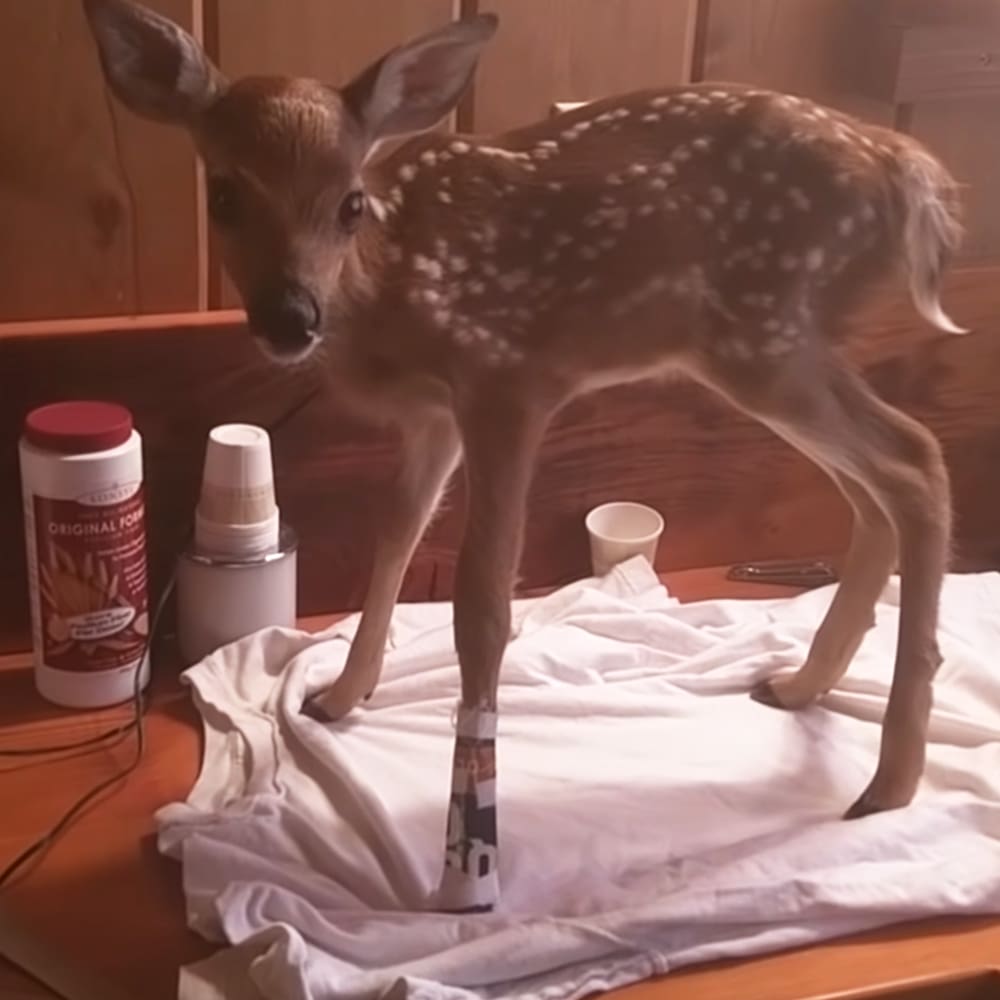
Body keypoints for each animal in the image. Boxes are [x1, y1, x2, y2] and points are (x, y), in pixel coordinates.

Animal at [84, 0, 966, 913]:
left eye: (351, 203)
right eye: (223, 193)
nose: (291, 317)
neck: (390, 293)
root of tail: (910, 169)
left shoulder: (508, 379)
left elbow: (482, 607)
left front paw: (468, 869)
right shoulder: (432, 418)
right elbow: (393, 537)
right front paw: (339, 696)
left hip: (767, 334)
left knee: (913, 460)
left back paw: (890, 780)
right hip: (771, 348)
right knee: (877, 486)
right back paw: (801, 686)